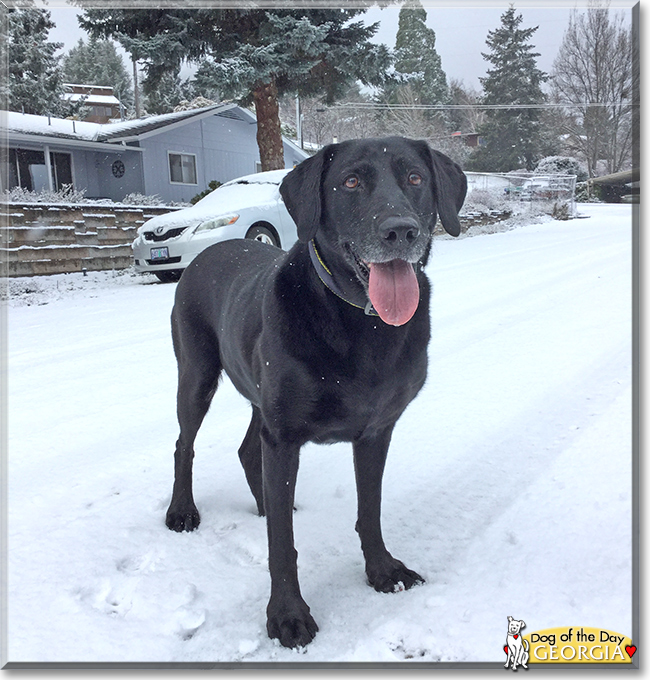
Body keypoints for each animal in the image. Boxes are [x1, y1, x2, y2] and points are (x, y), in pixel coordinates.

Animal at [165, 137, 464, 648]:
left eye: (415, 178)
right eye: (351, 181)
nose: (400, 231)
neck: (361, 321)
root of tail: (208, 250)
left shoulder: (376, 430)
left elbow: (370, 509)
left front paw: (383, 571)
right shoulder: (284, 436)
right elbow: (282, 545)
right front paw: (287, 615)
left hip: (259, 396)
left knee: (249, 451)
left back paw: (267, 503)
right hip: (197, 373)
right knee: (185, 443)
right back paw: (182, 511)